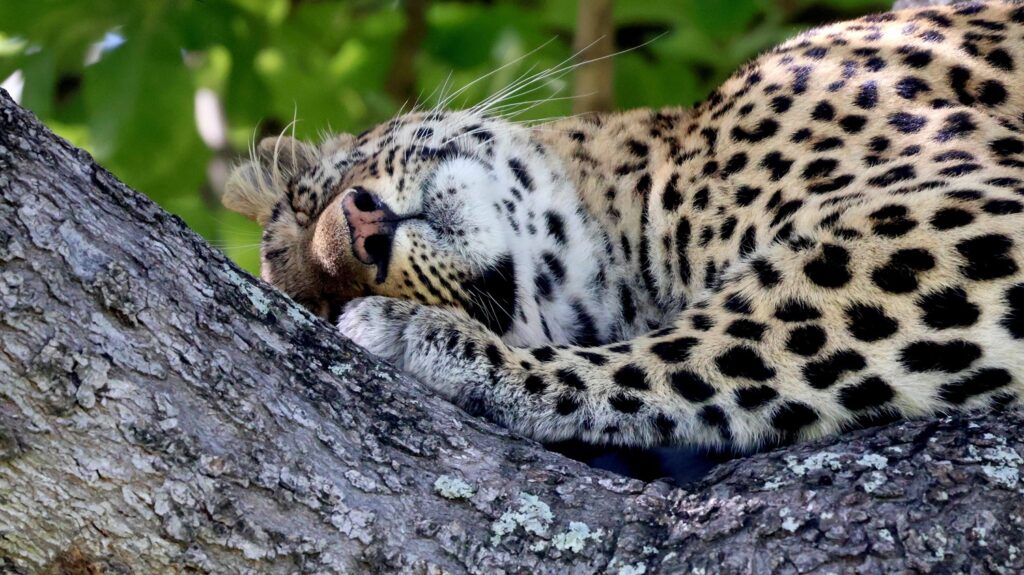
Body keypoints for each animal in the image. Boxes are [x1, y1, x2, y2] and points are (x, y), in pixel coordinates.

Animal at [223, 1, 1024, 456]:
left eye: (315, 199)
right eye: (321, 298)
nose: (358, 232)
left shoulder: (968, 198)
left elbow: (710, 343)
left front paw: (427, 338)